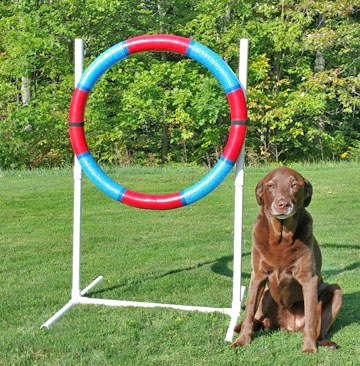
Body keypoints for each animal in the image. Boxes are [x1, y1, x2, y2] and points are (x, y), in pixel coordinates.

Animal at [232, 167, 342, 354]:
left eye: (295, 185)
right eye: (270, 185)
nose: (282, 204)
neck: (282, 238)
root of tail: (289, 326)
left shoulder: (308, 279)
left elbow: (312, 319)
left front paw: (309, 348)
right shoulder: (258, 276)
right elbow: (248, 312)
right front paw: (241, 341)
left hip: (335, 291)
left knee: (319, 328)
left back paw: (325, 342)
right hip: (266, 295)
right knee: (257, 318)